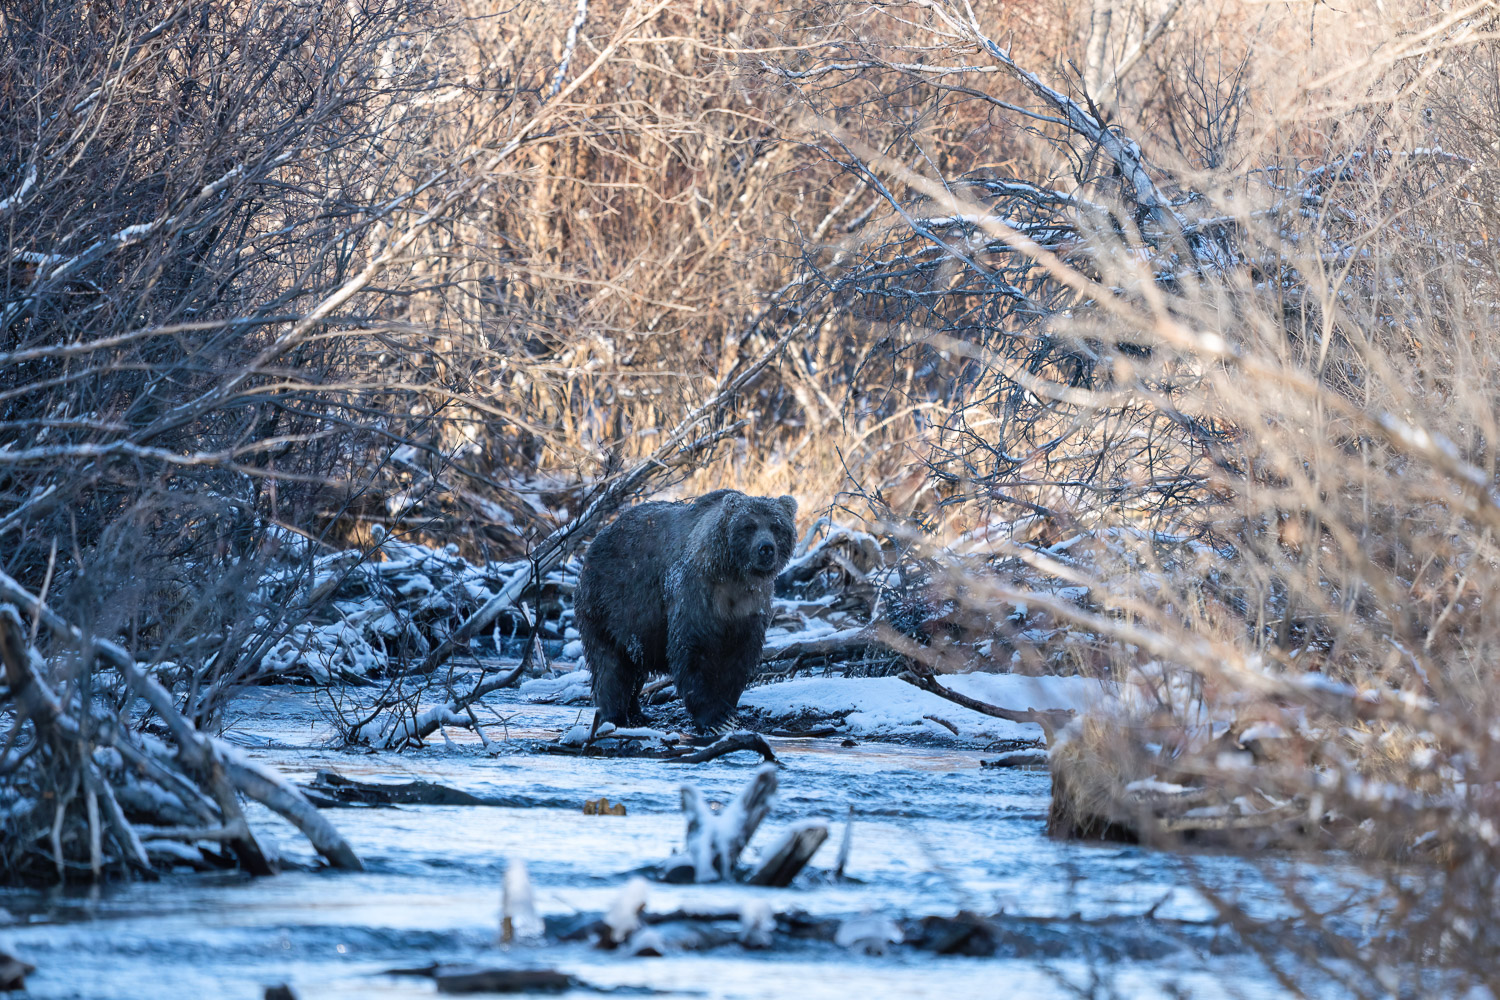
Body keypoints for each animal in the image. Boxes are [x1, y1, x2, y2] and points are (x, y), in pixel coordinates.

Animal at [576, 491, 804, 734]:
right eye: (749, 526)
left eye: (777, 526)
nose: (766, 548)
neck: (734, 576)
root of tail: (598, 538)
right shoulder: (696, 595)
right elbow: (694, 651)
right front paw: (716, 719)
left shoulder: (750, 609)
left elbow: (739, 658)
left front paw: (728, 711)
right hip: (608, 604)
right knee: (610, 666)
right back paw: (614, 717)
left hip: (636, 628)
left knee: (635, 667)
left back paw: (638, 714)